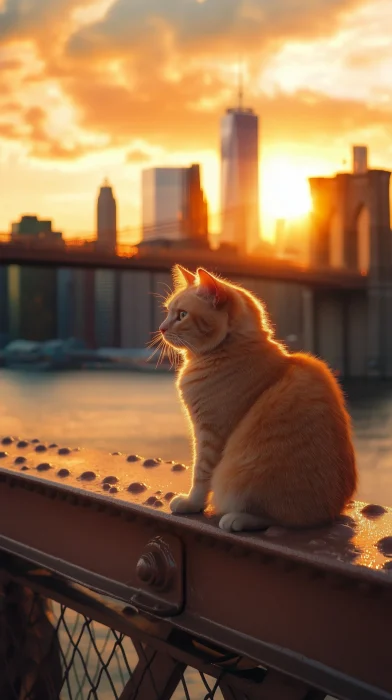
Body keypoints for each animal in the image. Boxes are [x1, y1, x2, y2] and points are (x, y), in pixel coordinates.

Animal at [160, 262, 358, 532]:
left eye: (181, 315)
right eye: (169, 312)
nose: (161, 328)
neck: (230, 347)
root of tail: (331, 514)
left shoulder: (209, 434)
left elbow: (200, 476)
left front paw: (191, 503)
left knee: (276, 519)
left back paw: (236, 519)